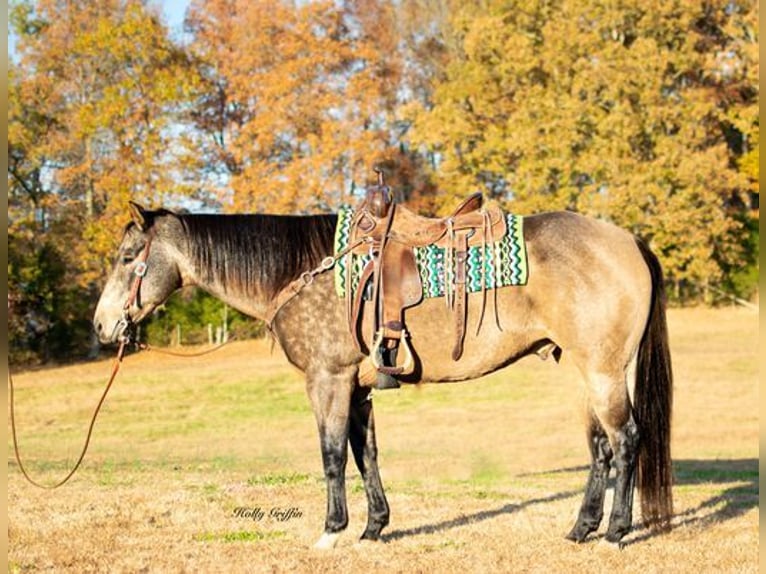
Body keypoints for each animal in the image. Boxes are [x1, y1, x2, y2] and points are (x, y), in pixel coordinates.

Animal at [93, 200, 676, 552]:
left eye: (128, 257)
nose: (102, 325)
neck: (302, 270)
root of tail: (628, 240)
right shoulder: (358, 389)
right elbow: (364, 454)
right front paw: (374, 527)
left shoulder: (327, 381)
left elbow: (331, 455)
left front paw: (331, 532)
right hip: (586, 373)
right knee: (601, 448)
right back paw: (581, 529)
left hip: (603, 371)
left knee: (627, 440)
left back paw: (615, 533)